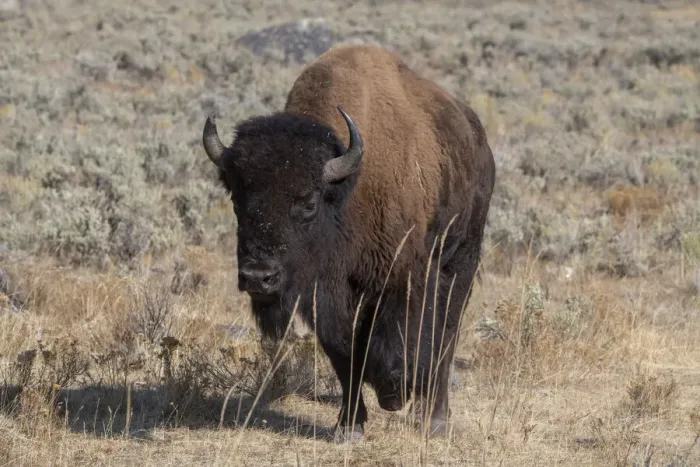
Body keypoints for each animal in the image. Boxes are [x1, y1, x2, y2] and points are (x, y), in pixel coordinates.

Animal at [202, 44, 495, 443]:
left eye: (308, 203)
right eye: (236, 200)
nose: (258, 277)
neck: (347, 190)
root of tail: (480, 142)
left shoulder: (406, 276)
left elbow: (405, 341)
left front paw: (393, 394)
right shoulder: (326, 294)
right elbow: (345, 353)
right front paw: (349, 426)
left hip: (462, 258)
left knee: (447, 335)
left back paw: (433, 420)